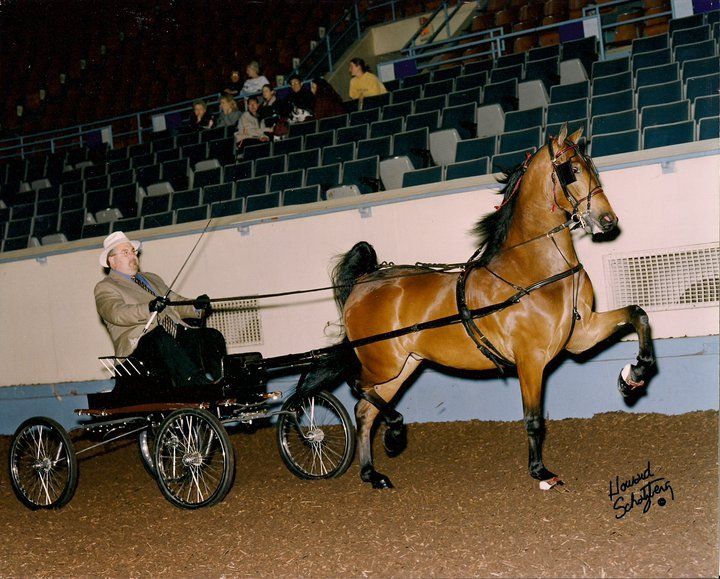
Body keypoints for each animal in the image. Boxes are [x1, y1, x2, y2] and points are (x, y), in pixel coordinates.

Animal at [300, 124, 656, 492]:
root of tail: (364, 281)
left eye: (591, 167)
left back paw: (373, 473)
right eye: (570, 170)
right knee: (358, 389)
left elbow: (638, 314)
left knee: (364, 409)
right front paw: (541, 471)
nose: (607, 220)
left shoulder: (581, 335)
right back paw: (394, 433)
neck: (536, 269)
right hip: (382, 362)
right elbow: (533, 418)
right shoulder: (530, 359)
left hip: (403, 366)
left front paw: (633, 376)